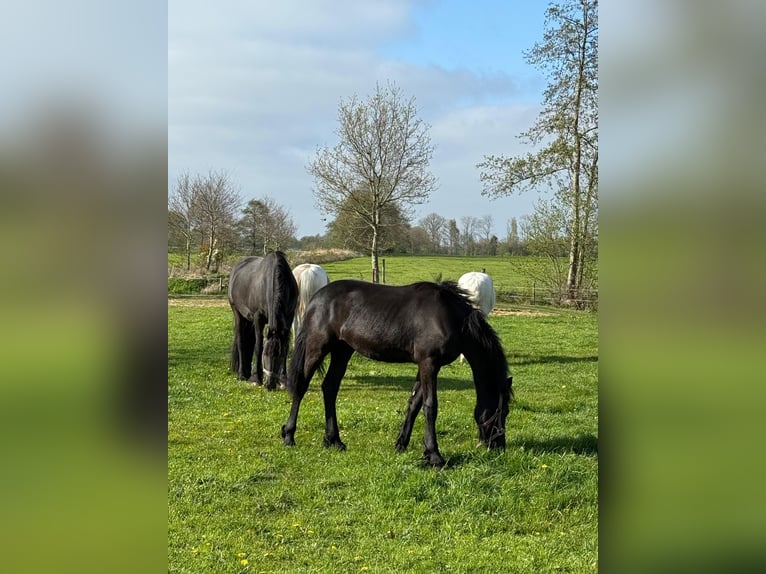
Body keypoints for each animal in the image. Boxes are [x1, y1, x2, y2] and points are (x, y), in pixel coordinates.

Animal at [228, 251, 298, 390]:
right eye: (265, 355)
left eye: (279, 355)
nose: (270, 384)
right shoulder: (258, 318)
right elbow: (258, 346)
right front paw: (257, 378)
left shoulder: (289, 316)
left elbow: (286, 345)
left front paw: (283, 380)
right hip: (238, 314)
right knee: (241, 341)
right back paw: (242, 374)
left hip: (248, 320)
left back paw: (247, 372)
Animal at [280, 279, 513, 467]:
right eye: (502, 412)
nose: (498, 446)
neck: (451, 317)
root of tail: (316, 297)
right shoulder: (429, 363)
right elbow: (430, 407)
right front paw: (434, 456)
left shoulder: (425, 366)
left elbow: (414, 405)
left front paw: (402, 444)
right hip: (317, 347)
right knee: (301, 386)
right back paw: (289, 436)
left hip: (342, 350)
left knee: (330, 387)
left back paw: (334, 440)